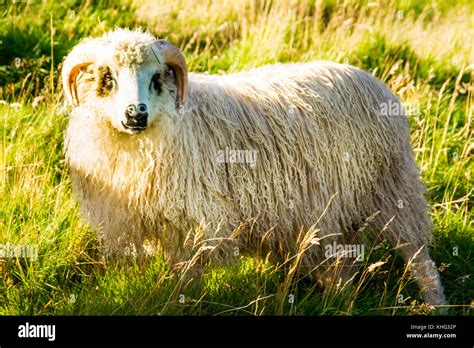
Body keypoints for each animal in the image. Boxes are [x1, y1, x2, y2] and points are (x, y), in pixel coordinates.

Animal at [61, 29, 446, 308]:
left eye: (157, 78)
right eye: (107, 77)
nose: (135, 114)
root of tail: (375, 82)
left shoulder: (198, 221)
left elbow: (187, 276)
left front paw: (180, 303)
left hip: (394, 188)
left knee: (418, 257)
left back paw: (435, 304)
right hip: (339, 207)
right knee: (345, 264)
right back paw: (342, 300)